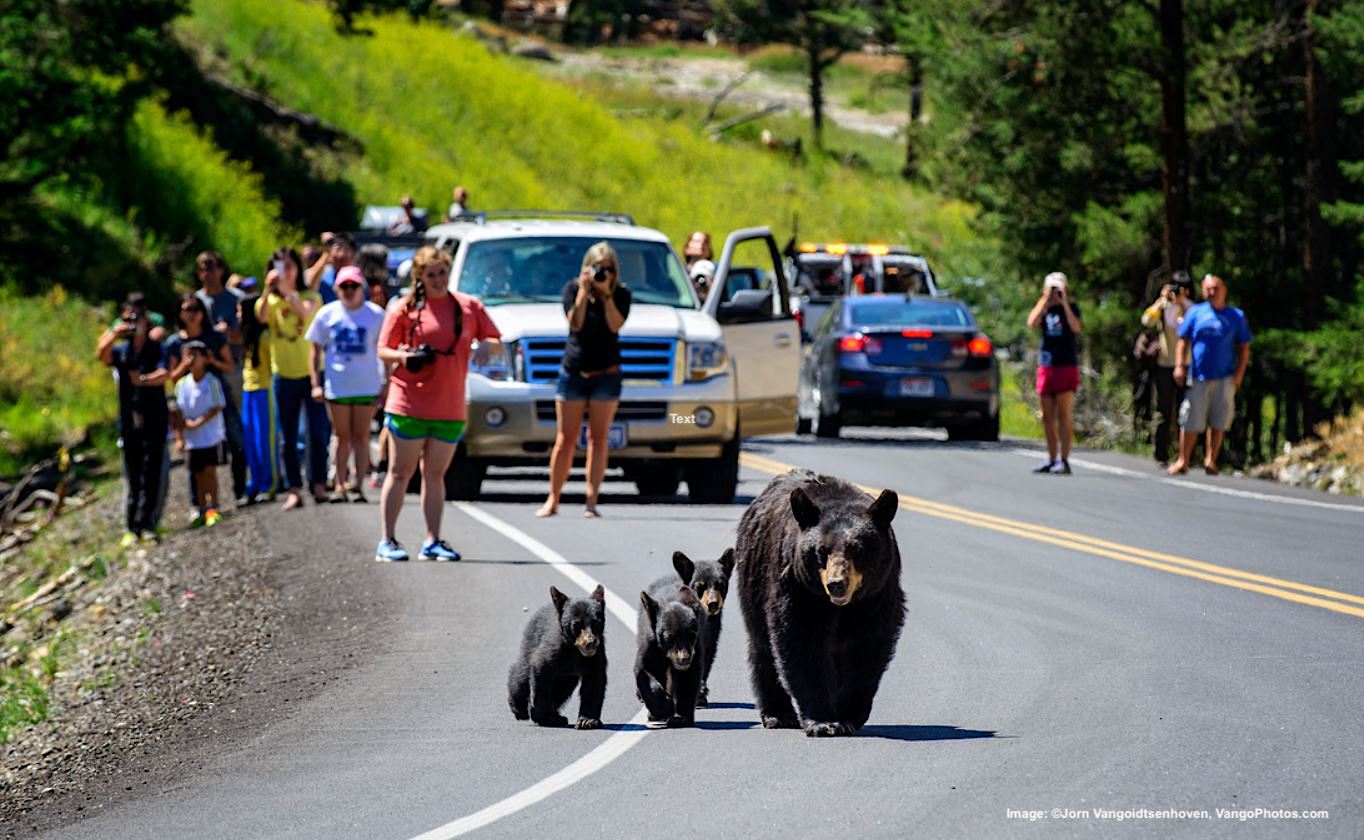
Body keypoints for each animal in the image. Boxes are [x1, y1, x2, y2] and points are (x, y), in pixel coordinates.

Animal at [736, 469, 905, 736]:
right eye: (822, 550)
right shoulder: (800, 589)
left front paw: (848, 715)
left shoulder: (876, 594)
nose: (836, 583)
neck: (840, 607)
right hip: (754, 579)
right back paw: (778, 714)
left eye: (858, 549)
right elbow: (802, 642)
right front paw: (824, 722)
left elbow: (866, 647)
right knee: (762, 646)